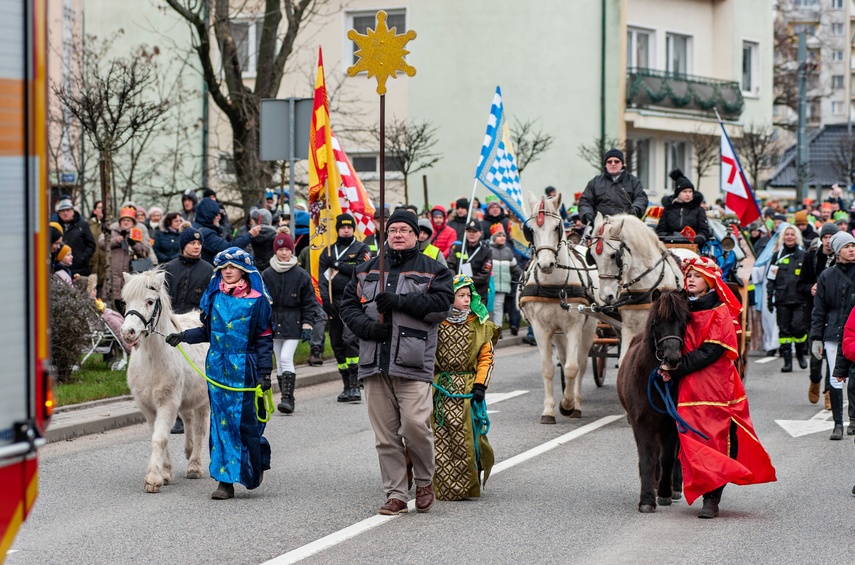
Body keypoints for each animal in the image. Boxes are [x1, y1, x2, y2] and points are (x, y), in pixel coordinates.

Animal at [120, 270, 211, 492]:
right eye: (125, 301)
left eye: (150, 301)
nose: (127, 332)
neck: (153, 360)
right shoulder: (147, 407)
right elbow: (160, 436)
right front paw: (166, 472)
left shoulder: (167, 403)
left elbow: (159, 438)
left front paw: (153, 478)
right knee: (187, 419)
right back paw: (188, 451)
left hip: (204, 400)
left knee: (200, 428)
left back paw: (194, 466)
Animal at [520, 194, 600, 424]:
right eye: (530, 229)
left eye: (557, 227)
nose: (546, 264)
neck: (554, 285)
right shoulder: (541, 329)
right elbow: (548, 369)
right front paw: (548, 410)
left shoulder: (575, 327)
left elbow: (573, 368)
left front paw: (568, 404)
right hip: (558, 334)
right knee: (564, 360)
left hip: (589, 327)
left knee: (580, 363)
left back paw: (576, 403)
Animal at [616, 288, 688, 512]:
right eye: (656, 322)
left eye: (684, 322)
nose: (672, 359)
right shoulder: (641, 422)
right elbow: (647, 458)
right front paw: (647, 499)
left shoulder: (670, 423)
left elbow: (667, 458)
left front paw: (664, 493)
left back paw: (674, 487)